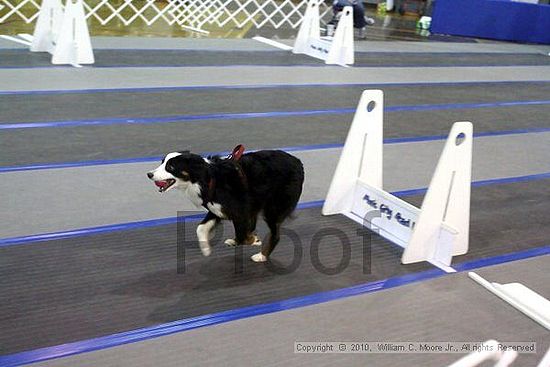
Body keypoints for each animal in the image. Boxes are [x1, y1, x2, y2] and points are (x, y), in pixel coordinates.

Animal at [148, 145, 306, 264]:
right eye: (162, 162)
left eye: (170, 167)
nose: (149, 174)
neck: (206, 178)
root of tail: (298, 162)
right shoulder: (217, 209)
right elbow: (201, 228)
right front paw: (206, 249)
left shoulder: (239, 211)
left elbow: (243, 235)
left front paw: (252, 240)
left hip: (273, 208)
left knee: (275, 234)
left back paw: (262, 256)